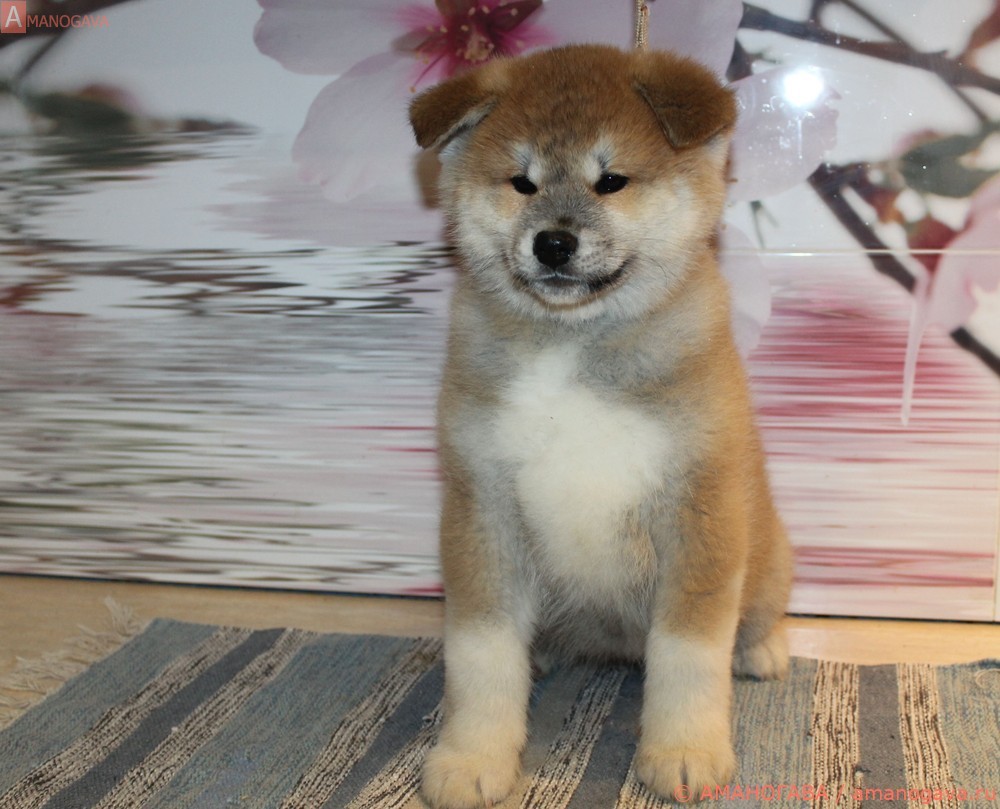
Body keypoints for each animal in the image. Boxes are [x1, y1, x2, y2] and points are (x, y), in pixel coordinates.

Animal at [408, 44, 792, 809]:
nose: (554, 242)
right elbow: (481, 654)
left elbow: (689, 654)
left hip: (766, 556)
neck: (573, 344)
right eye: (521, 182)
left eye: (611, 181)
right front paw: (474, 756)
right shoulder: (481, 510)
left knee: (757, 613)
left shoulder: (699, 511)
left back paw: (761, 650)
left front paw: (684, 750)